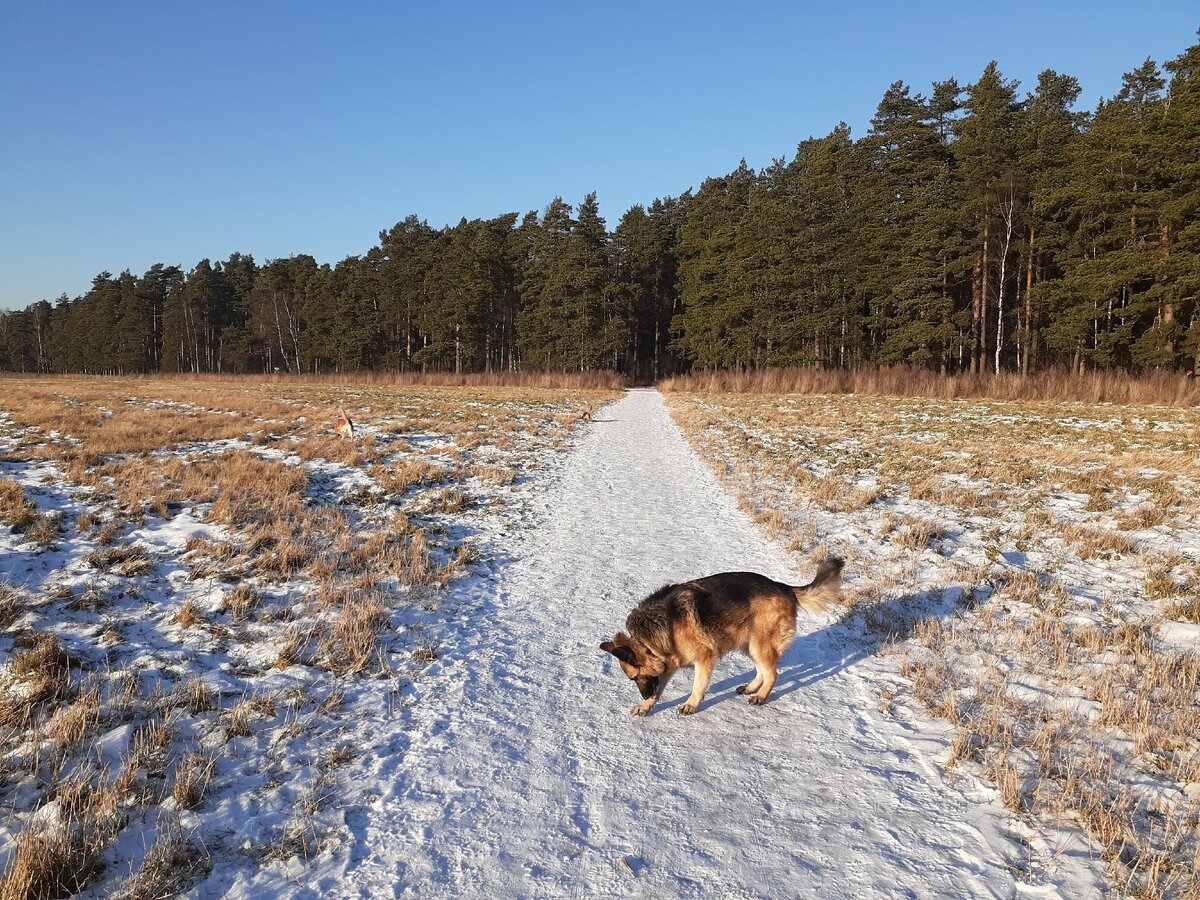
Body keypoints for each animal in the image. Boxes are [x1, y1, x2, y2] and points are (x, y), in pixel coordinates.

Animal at [600, 561, 844, 715]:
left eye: (636, 678)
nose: (643, 696)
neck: (649, 639)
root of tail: (785, 588)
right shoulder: (668, 664)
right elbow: (660, 688)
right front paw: (646, 706)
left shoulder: (704, 659)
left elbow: (698, 686)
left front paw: (691, 705)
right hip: (749, 644)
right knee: (762, 670)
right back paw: (751, 688)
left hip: (759, 645)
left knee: (772, 673)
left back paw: (761, 696)